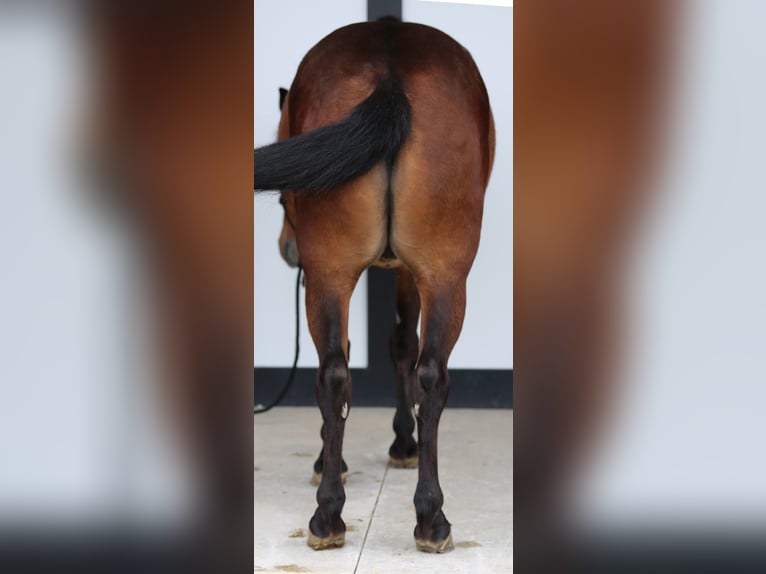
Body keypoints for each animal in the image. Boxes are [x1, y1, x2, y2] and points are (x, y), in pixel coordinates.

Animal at [254, 19, 495, 553]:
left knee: (338, 372)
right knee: (422, 373)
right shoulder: (405, 270)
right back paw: (422, 517)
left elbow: (388, 347)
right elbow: (401, 345)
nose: (288, 249)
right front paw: (400, 444)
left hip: (342, 274)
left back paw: (340, 515)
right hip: (439, 276)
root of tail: (389, 72)